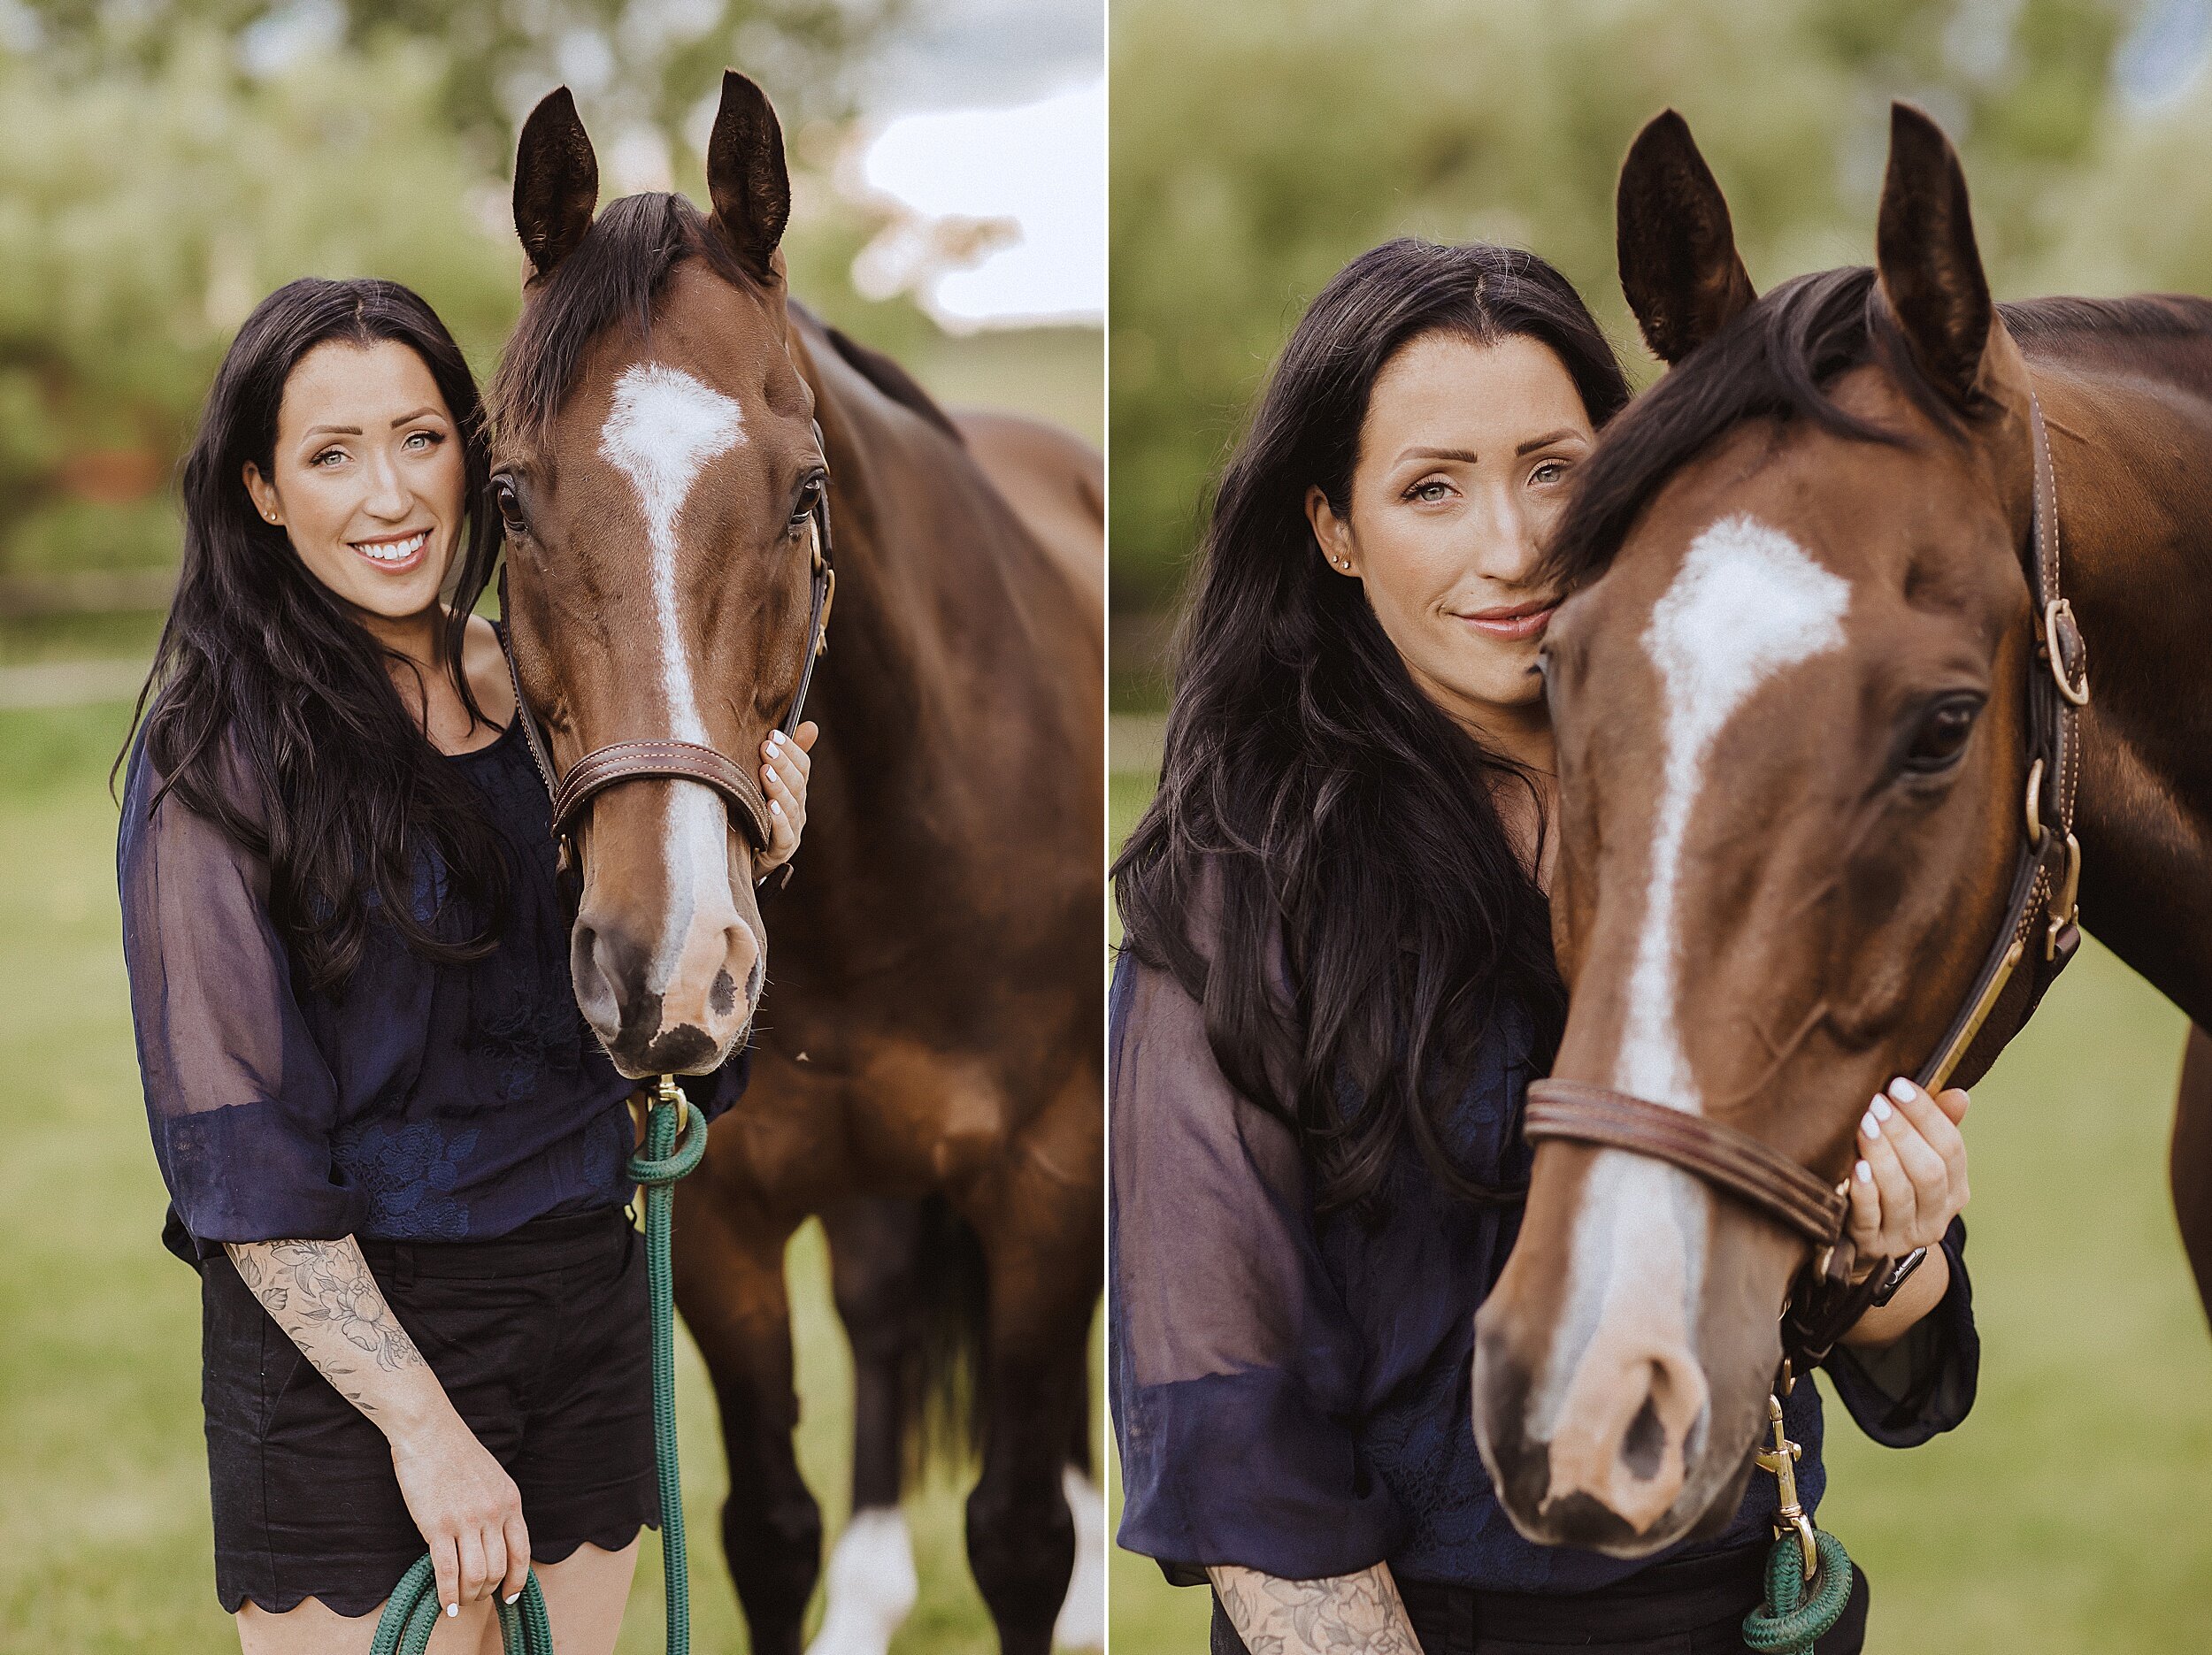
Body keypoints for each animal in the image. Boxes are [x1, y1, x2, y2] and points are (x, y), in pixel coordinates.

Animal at [488, 71, 1102, 1645]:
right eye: (507, 497)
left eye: (804, 488)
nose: (665, 966)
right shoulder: (720, 1216)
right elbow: (767, 1527)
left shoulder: (1045, 1181)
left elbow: (1019, 1532)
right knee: (882, 1314)